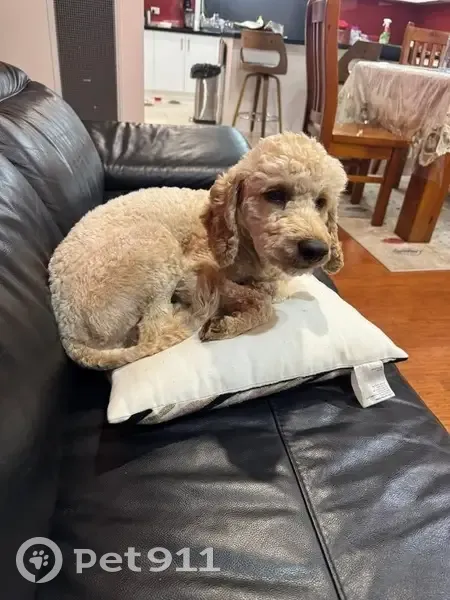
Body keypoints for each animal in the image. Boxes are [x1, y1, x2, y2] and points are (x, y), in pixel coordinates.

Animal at [49, 133, 347, 370]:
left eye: (321, 202)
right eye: (275, 194)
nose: (316, 249)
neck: (247, 248)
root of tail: (69, 332)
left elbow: (269, 292)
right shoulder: (193, 276)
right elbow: (262, 303)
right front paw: (228, 321)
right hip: (158, 248)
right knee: (153, 330)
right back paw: (188, 316)